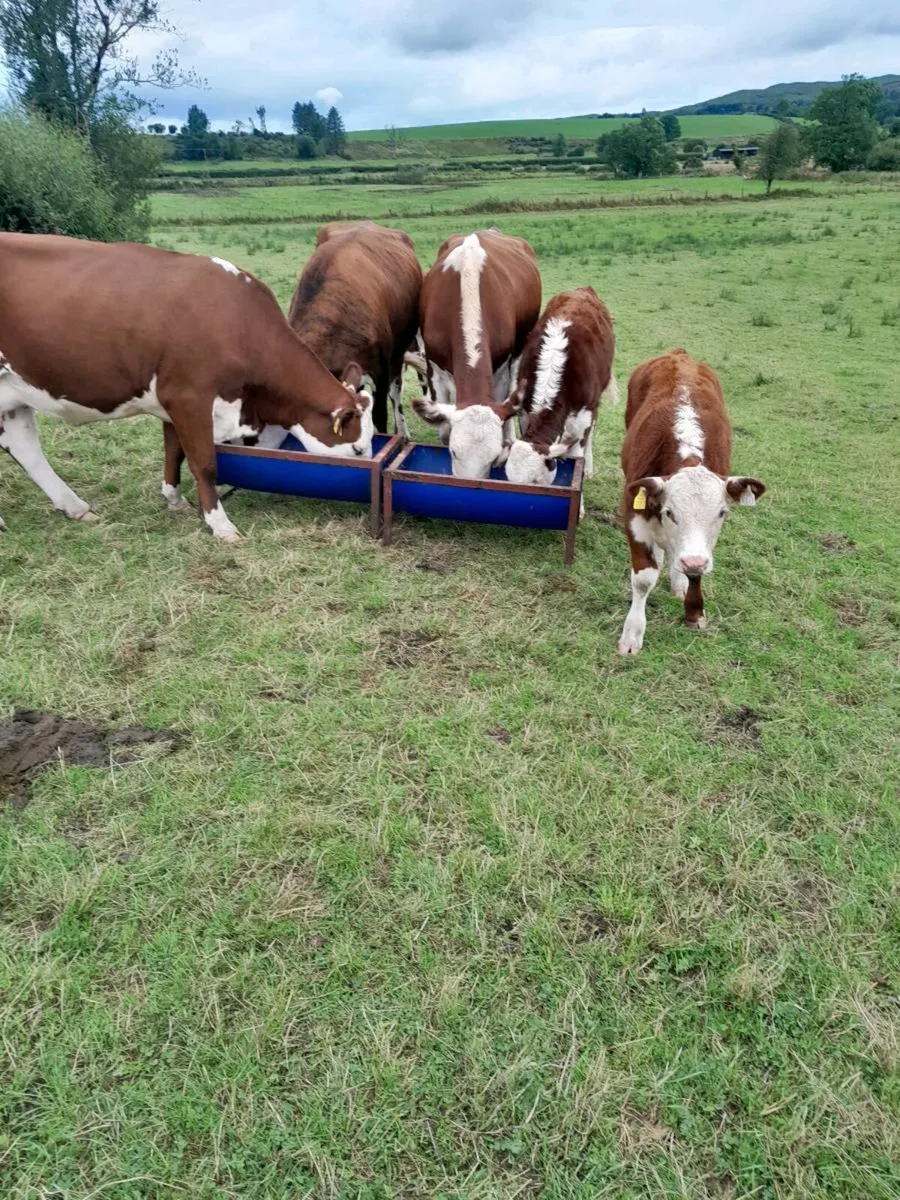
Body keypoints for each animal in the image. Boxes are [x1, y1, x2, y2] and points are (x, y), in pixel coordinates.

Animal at [0, 233, 373, 542]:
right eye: (357, 449)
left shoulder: (172, 401)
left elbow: (173, 450)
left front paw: (174, 499)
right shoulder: (189, 397)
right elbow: (203, 462)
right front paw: (220, 524)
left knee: (25, 448)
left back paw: (75, 507)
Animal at [617, 349, 766, 656]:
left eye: (722, 513)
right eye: (670, 512)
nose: (693, 561)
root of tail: (678, 354)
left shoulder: (700, 547)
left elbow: (695, 572)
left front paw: (694, 612)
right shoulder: (634, 513)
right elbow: (643, 579)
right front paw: (632, 635)